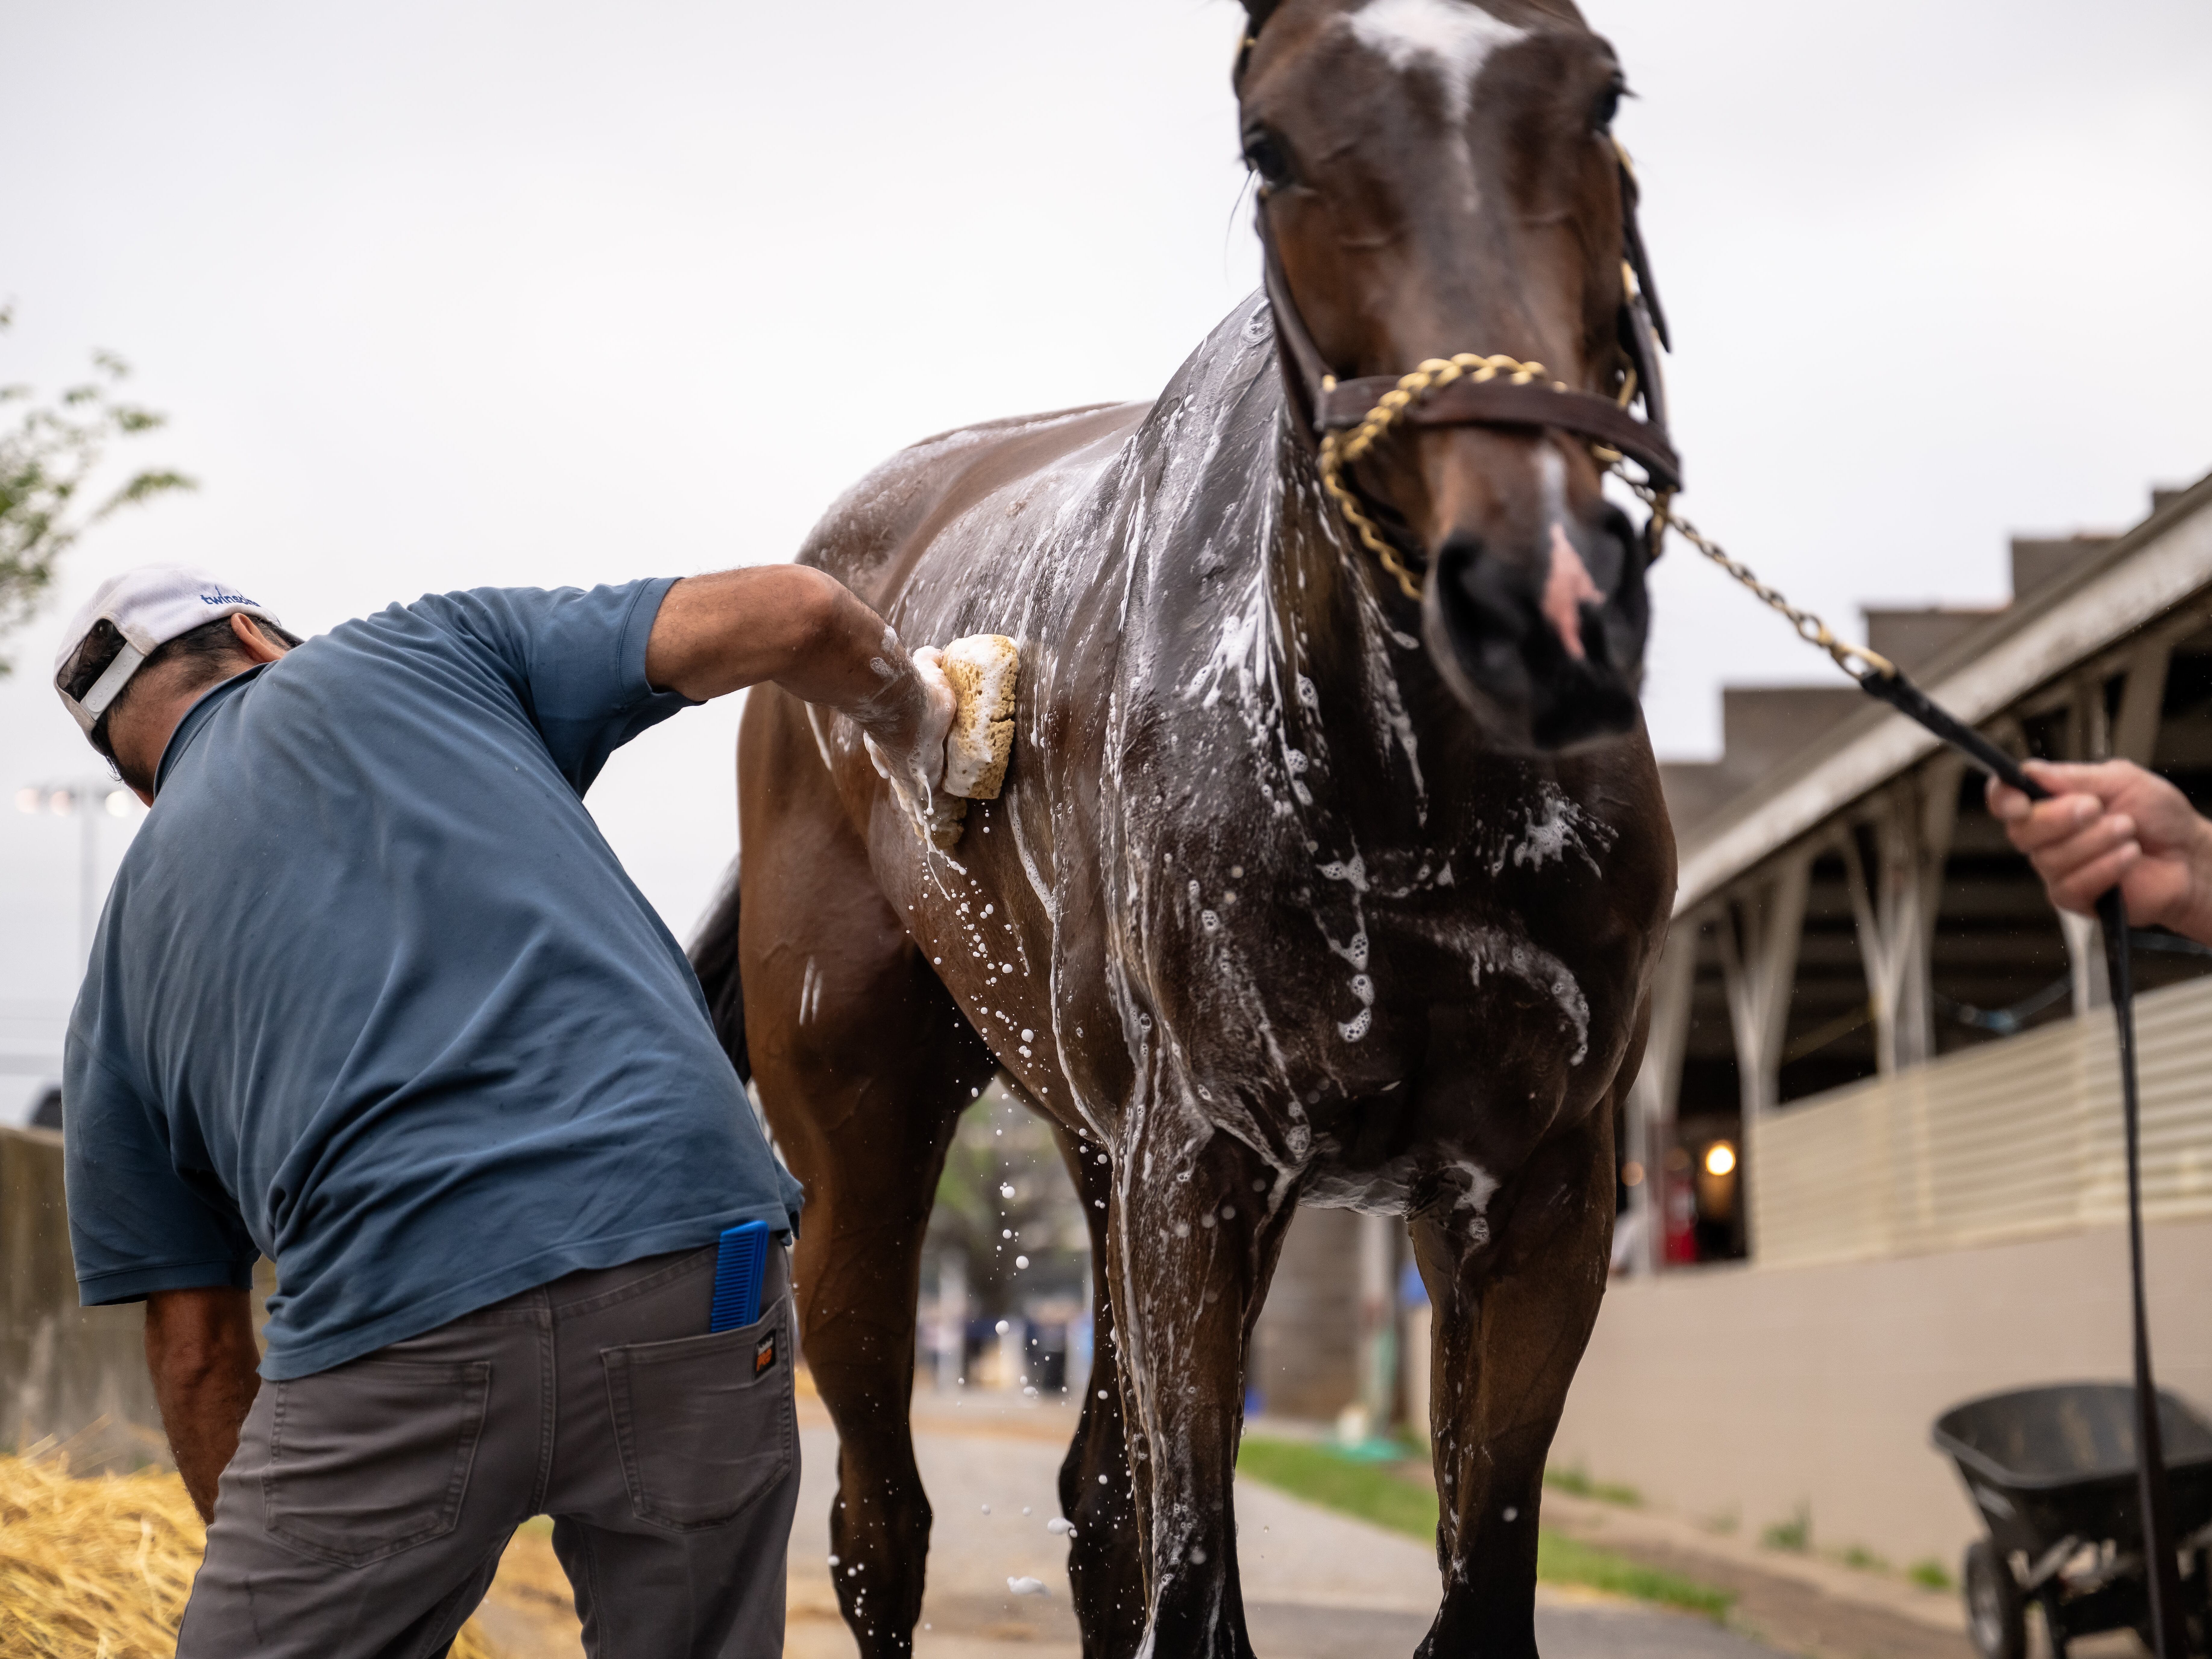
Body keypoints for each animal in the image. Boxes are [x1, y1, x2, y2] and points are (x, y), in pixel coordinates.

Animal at [691, 1, 1679, 1652]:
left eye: (1598, 94)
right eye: (1268, 144)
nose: (1531, 590)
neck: (1403, 799)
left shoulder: (1529, 1190)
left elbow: (1467, 1580)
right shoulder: (1205, 1172)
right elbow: (1196, 1581)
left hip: (1099, 1159)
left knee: (1095, 1502)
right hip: (865, 1140)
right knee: (880, 1524)